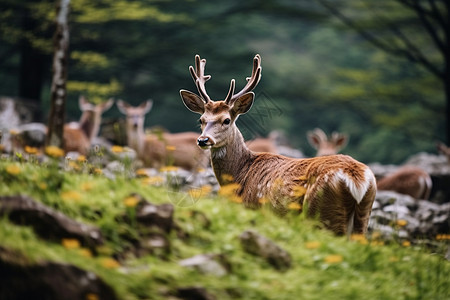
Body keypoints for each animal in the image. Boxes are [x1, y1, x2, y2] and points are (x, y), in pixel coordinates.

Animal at [179, 55, 376, 236]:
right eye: (201, 119)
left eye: (226, 120)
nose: (203, 140)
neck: (240, 175)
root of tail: (358, 179)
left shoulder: (253, 209)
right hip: (362, 216)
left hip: (321, 213)